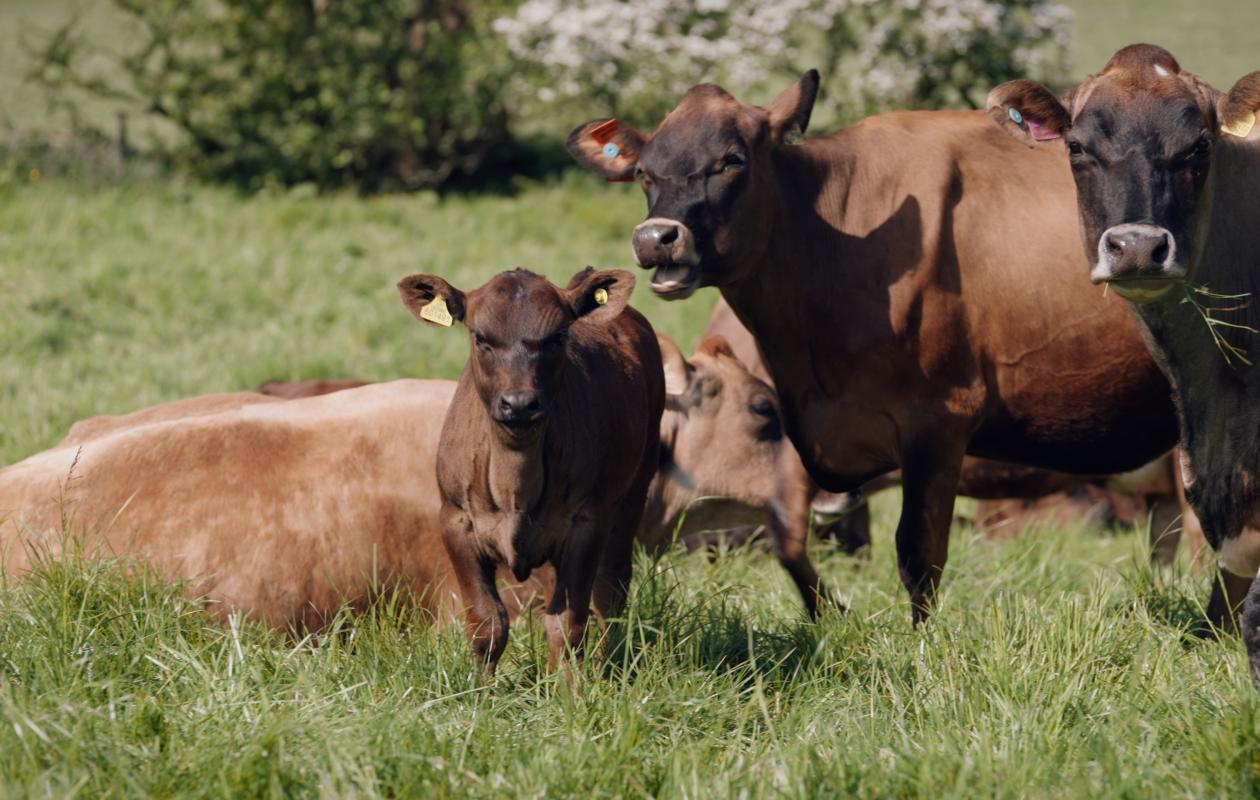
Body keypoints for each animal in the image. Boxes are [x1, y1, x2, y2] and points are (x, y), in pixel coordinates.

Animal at [396, 266, 664, 673]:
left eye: (558, 336)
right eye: (480, 337)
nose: (519, 403)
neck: (514, 486)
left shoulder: (586, 523)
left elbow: (567, 622)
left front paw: (570, 688)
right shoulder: (456, 521)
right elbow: (487, 621)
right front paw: (480, 687)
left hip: (634, 491)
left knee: (611, 588)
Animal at [568, 71, 1180, 623]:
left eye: (731, 160)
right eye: (643, 172)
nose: (655, 238)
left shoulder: (938, 421)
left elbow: (917, 553)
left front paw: (922, 648)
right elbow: (788, 533)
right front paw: (832, 615)